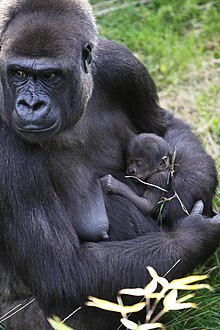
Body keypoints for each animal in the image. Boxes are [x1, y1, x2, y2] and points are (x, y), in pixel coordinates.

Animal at [0, 0, 219, 330]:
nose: (30, 105)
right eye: (18, 73)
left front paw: (178, 194)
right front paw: (196, 233)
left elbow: (165, 126)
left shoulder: (122, 65)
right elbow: (64, 271)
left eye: (50, 76)